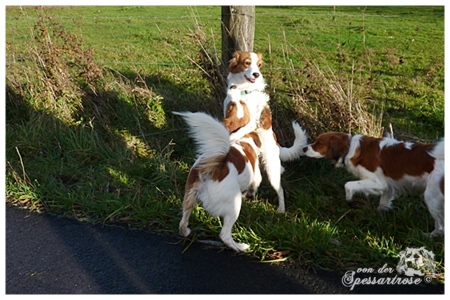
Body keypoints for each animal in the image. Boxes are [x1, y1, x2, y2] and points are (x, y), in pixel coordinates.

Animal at [223, 51, 308, 213]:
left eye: (259, 65)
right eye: (247, 63)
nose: (256, 74)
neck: (243, 89)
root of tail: (276, 142)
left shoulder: (250, 122)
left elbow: (236, 133)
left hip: (271, 169)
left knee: (280, 190)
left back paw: (281, 209)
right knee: (256, 180)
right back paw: (246, 195)